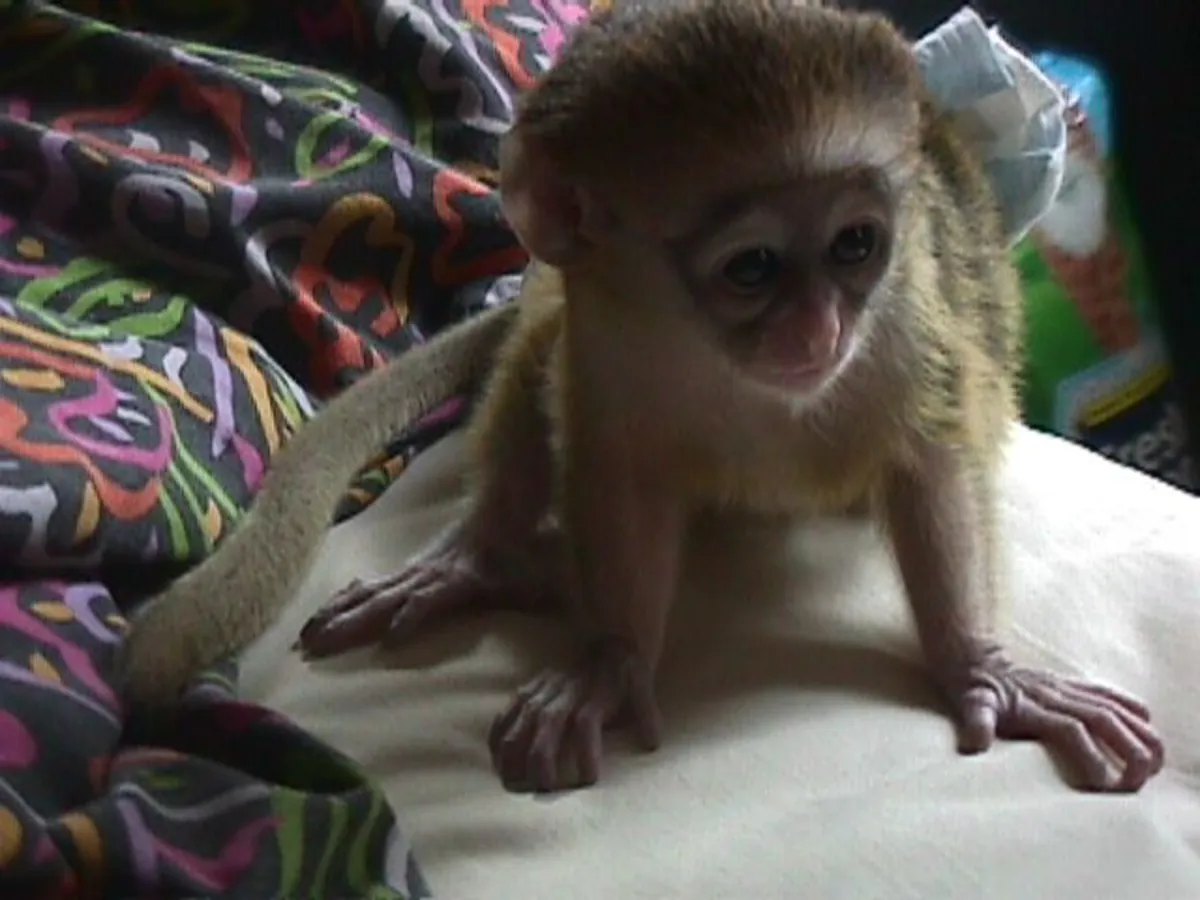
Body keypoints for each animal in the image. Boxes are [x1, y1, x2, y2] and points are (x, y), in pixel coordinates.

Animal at [123, 0, 1165, 797]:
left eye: (856, 246)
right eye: (752, 268)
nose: (819, 331)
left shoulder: (902, 325)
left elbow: (930, 461)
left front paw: (985, 669)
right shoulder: (606, 330)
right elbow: (620, 474)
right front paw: (615, 660)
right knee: (535, 363)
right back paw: (480, 560)